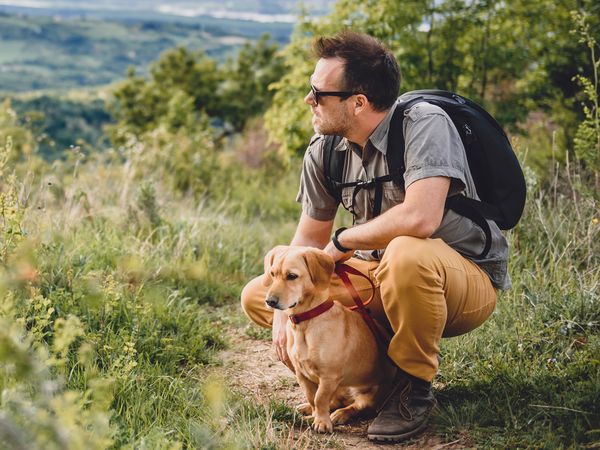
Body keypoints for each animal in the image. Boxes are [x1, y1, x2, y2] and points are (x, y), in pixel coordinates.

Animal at [264, 246, 396, 432]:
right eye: (272, 274)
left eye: (292, 276)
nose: (269, 301)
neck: (306, 321)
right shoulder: (302, 374)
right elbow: (312, 397)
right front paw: (314, 415)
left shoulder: (328, 377)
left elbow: (320, 398)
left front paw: (322, 422)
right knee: (334, 402)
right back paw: (309, 410)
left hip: (368, 395)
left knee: (356, 406)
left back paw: (340, 414)